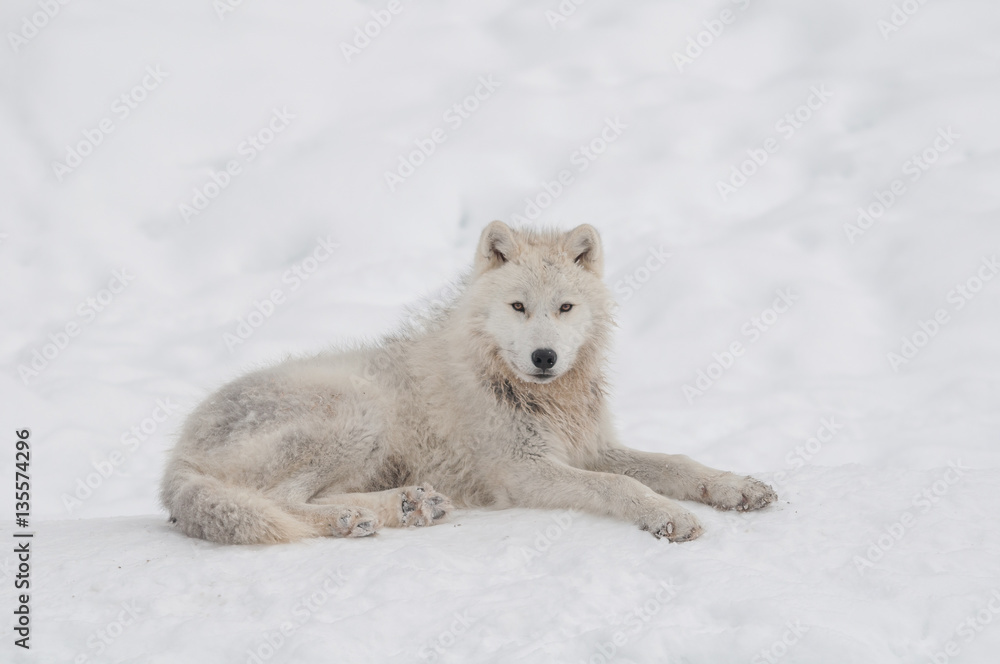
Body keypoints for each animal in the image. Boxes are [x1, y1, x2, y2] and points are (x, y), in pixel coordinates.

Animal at [160, 221, 777, 545]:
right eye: (518, 306)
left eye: (565, 307)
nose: (545, 356)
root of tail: (176, 458)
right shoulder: (525, 471)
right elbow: (621, 486)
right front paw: (670, 516)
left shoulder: (589, 447)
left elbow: (676, 463)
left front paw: (734, 486)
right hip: (360, 410)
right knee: (280, 501)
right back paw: (356, 518)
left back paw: (410, 505)